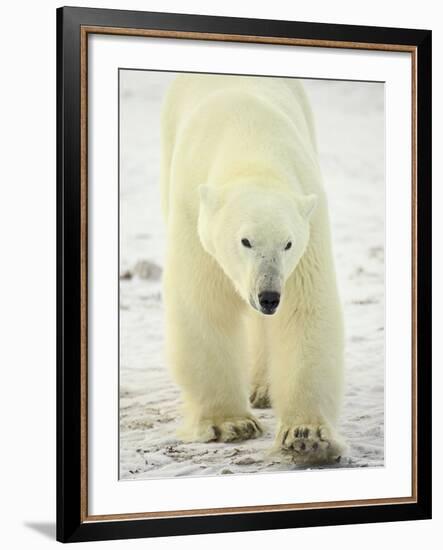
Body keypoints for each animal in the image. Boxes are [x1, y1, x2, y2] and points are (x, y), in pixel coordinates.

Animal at [160, 72, 346, 462]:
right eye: (245, 241)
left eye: (287, 243)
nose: (269, 296)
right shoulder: (193, 215)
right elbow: (204, 305)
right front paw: (230, 423)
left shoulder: (309, 224)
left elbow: (305, 309)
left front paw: (307, 435)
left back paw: (263, 388)